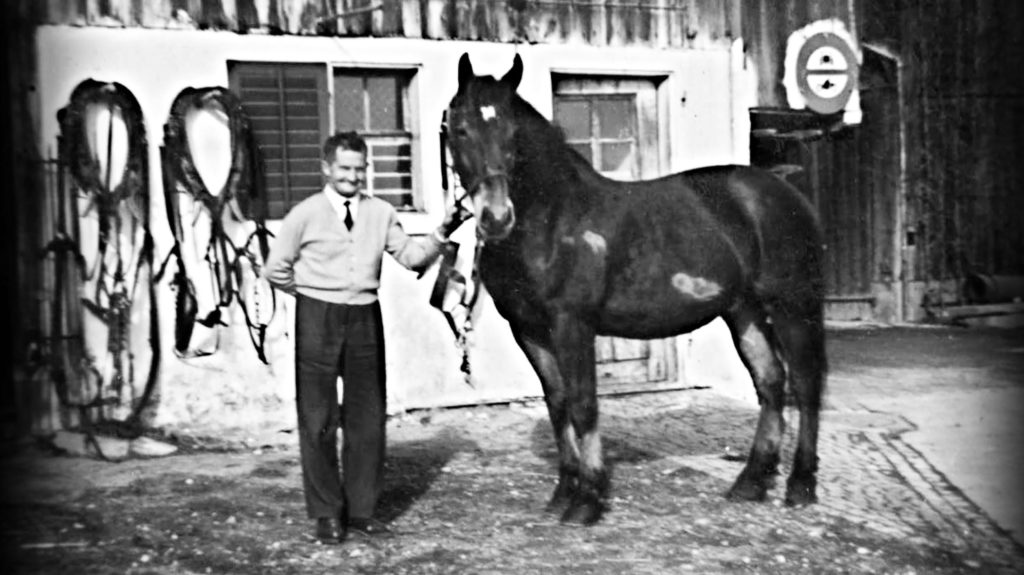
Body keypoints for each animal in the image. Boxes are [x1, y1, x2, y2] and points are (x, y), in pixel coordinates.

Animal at [448, 53, 831, 523]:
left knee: (806, 383)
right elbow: (557, 403)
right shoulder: (529, 329)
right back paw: (751, 481)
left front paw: (588, 500)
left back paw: (800, 484)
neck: (553, 219)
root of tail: (782, 190)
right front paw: (564, 491)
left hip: (794, 305)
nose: (496, 217)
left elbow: (583, 404)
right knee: (771, 381)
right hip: (744, 310)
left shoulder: (573, 324)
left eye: (512, 134)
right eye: (460, 128)